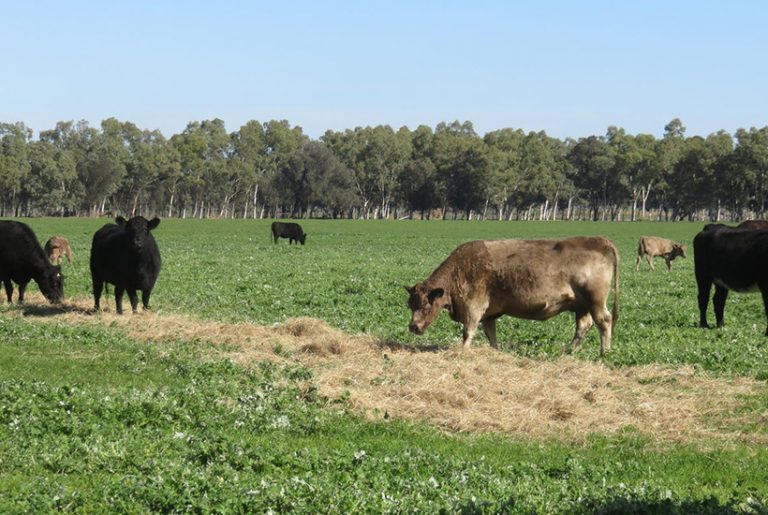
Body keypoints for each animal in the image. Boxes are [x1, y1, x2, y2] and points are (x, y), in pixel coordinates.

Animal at [408, 237, 616, 354]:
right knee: (583, 327)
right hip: (581, 306)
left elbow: (468, 331)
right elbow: (490, 334)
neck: (460, 270)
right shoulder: (489, 314)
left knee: (604, 321)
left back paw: (605, 353)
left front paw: (463, 352)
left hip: (595, 301)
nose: (413, 327)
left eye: (425, 305)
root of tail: (597, 240)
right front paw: (495, 351)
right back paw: (570, 352)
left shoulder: (474, 307)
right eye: (411, 305)